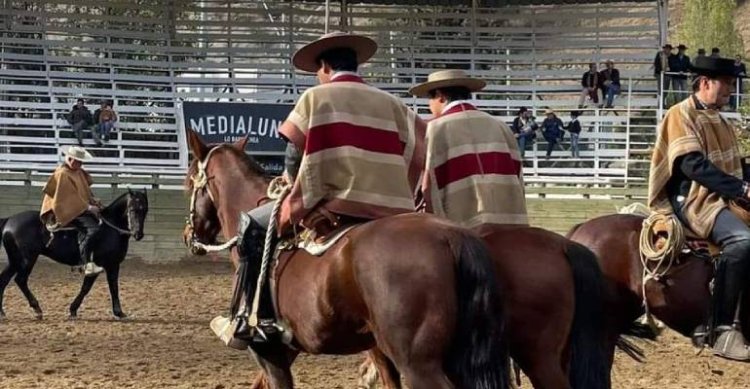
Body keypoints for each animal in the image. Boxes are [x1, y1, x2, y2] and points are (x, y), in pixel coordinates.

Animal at [0, 188, 148, 318]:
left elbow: (113, 286)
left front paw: (118, 312)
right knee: (20, 280)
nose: (138, 234)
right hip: (27, 259)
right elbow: (88, 287)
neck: (110, 228)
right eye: (132, 209)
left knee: (4, 279)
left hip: (15, 260)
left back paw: (2, 312)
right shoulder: (102, 265)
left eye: (145, 210)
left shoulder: (113, 264)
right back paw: (37, 309)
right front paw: (73, 309)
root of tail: (9, 220)